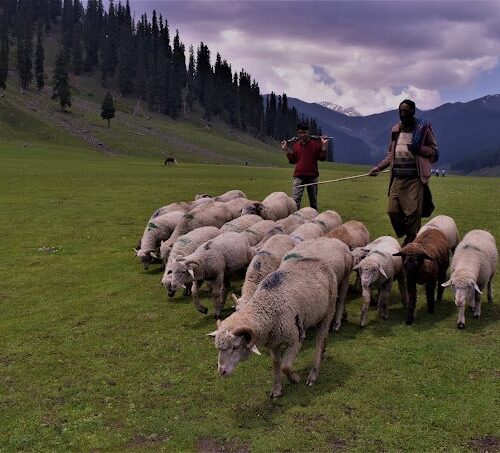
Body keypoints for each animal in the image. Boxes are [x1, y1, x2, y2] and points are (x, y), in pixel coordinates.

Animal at [207, 237, 340, 396]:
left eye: (236, 346)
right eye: (218, 348)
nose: (221, 371)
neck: (268, 305)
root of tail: (319, 261)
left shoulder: (294, 340)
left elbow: (285, 366)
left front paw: (294, 379)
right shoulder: (273, 343)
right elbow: (276, 364)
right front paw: (277, 388)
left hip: (328, 312)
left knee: (320, 341)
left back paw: (313, 374)